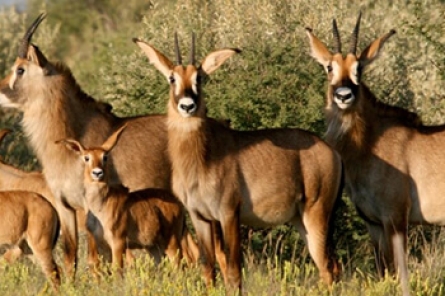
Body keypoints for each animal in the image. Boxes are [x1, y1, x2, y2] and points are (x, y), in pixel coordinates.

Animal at [56, 126, 199, 272]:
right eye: (86, 157)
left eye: (105, 156)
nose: (97, 173)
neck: (100, 206)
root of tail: (178, 203)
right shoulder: (102, 244)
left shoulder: (118, 242)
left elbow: (117, 269)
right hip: (153, 247)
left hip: (172, 242)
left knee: (180, 266)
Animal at [134, 34, 342, 292]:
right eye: (172, 77)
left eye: (199, 77)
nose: (187, 106)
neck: (203, 158)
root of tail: (333, 152)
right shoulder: (200, 217)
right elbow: (208, 268)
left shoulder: (229, 214)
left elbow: (233, 272)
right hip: (301, 219)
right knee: (330, 266)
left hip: (317, 214)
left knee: (327, 267)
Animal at [306, 12, 438, 296]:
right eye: (329, 67)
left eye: (360, 68)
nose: (344, 95)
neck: (369, 142)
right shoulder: (374, 224)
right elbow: (383, 272)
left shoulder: (396, 219)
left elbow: (400, 275)